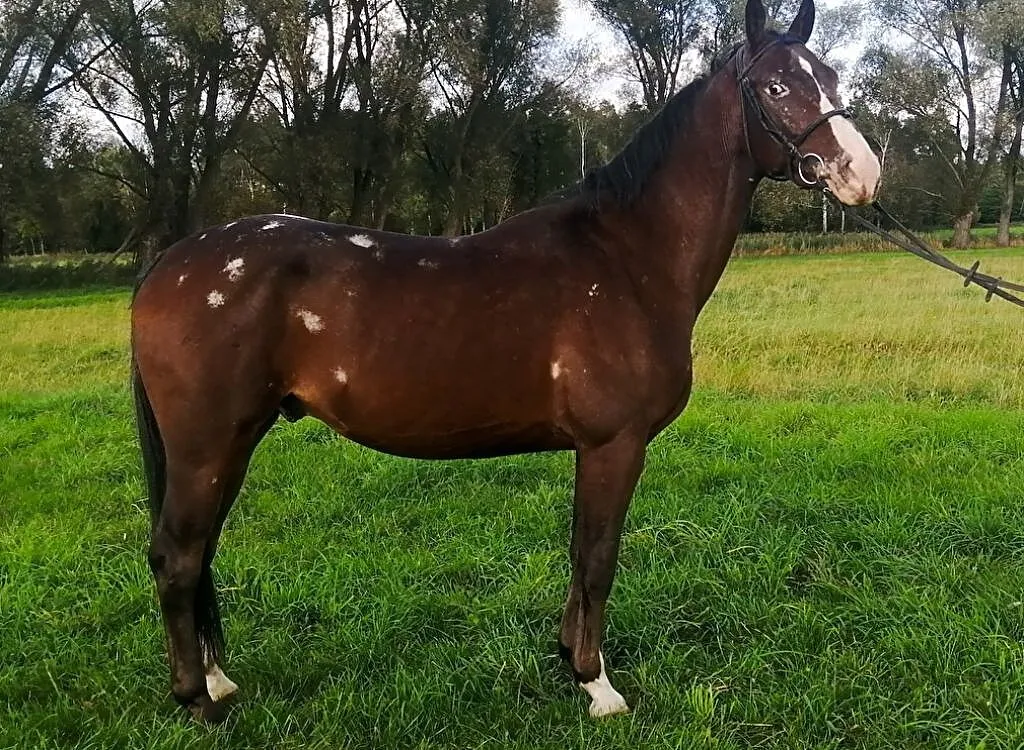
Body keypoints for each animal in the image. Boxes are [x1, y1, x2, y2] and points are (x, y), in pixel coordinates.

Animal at [131, 0, 881, 723]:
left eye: (832, 77)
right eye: (776, 86)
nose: (863, 174)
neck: (627, 257)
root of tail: (167, 266)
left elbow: (581, 554)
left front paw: (569, 661)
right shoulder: (614, 444)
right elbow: (596, 557)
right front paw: (597, 684)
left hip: (232, 443)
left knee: (200, 553)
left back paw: (218, 681)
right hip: (207, 445)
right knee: (177, 556)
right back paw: (197, 699)